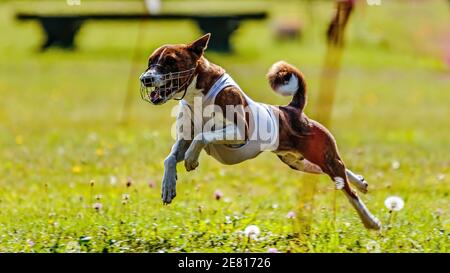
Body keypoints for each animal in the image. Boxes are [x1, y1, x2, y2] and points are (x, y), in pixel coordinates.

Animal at [139, 34, 382, 230]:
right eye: (150, 61)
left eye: (170, 62)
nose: (145, 79)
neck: (197, 98)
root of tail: (293, 109)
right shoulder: (184, 139)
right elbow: (170, 158)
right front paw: (168, 186)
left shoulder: (240, 132)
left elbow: (203, 136)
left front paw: (191, 159)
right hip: (301, 161)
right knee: (340, 171)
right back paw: (361, 182)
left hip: (318, 155)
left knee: (350, 192)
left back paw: (371, 221)